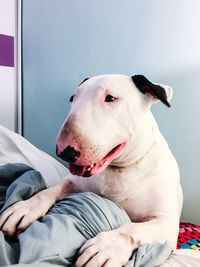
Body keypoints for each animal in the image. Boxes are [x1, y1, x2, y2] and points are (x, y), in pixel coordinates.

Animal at [0, 75, 183, 267]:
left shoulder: (167, 224)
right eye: (73, 98)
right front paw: (25, 208)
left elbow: (132, 229)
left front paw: (106, 247)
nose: (64, 152)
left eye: (110, 98)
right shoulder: (74, 182)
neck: (118, 170)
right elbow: (49, 191)